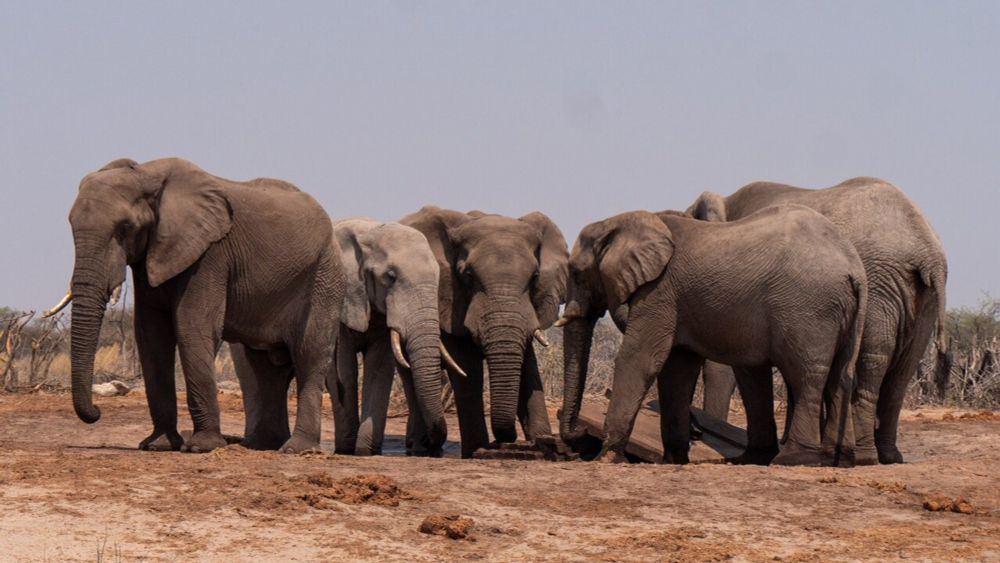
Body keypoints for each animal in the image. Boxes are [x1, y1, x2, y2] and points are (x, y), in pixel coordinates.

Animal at [47, 158, 344, 454]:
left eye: (125, 227)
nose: (97, 411)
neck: (147, 174)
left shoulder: (210, 254)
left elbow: (192, 327)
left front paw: (202, 447)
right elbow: (151, 336)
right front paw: (158, 445)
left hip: (323, 276)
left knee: (309, 354)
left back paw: (297, 449)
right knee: (265, 367)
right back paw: (261, 445)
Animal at [328, 217, 464, 458]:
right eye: (390, 277)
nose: (431, 446)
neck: (371, 233)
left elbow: (379, 368)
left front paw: (365, 451)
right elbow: (346, 370)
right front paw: (348, 449)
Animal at [400, 206, 572, 458]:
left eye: (535, 277)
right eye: (468, 275)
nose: (505, 440)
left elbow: (528, 366)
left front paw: (543, 443)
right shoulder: (451, 300)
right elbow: (467, 366)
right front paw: (477, 450)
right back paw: (419, 446)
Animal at [560, 207, 872, 468]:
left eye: (576, 273)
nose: (579, 433)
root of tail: (853, 267)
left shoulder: (659, 292)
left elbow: (640, 359)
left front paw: (606, 457)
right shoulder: (676, 300)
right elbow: (677, 370)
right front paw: (673, 460)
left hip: (808, 308)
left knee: (806, 375)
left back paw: (793, 459)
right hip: (841, 313)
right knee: (840, 376)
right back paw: (834, 460)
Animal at [688, 178, 944, 464]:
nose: (697, 433)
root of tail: (927, 250)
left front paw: (753, 456)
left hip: (880, 285)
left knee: (872, 360)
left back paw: (863, 456)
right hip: (922, 299)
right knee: (902, 371)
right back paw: (888, 456)